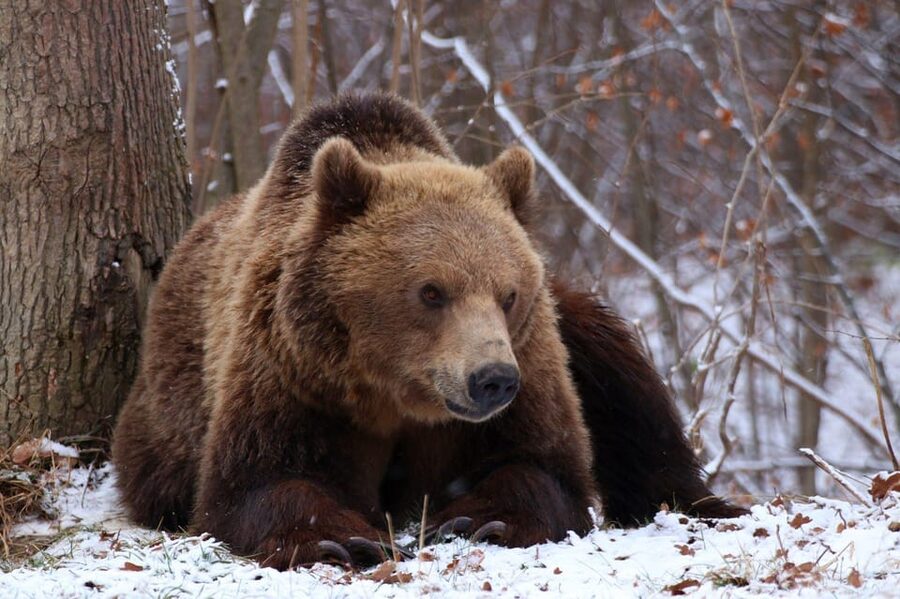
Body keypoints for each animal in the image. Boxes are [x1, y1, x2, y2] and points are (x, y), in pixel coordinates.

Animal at [112, 92, 745, 570]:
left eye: (508, 293)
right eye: (431, 291)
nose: (492, 379)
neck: (391, 390)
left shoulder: (531, 362)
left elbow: (545, 465)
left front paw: (473, 517)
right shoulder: (291, 371)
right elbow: (256, 480)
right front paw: (345, 536)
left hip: (574, 324)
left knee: (628, 392)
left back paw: (705, 502)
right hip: (169, 403)